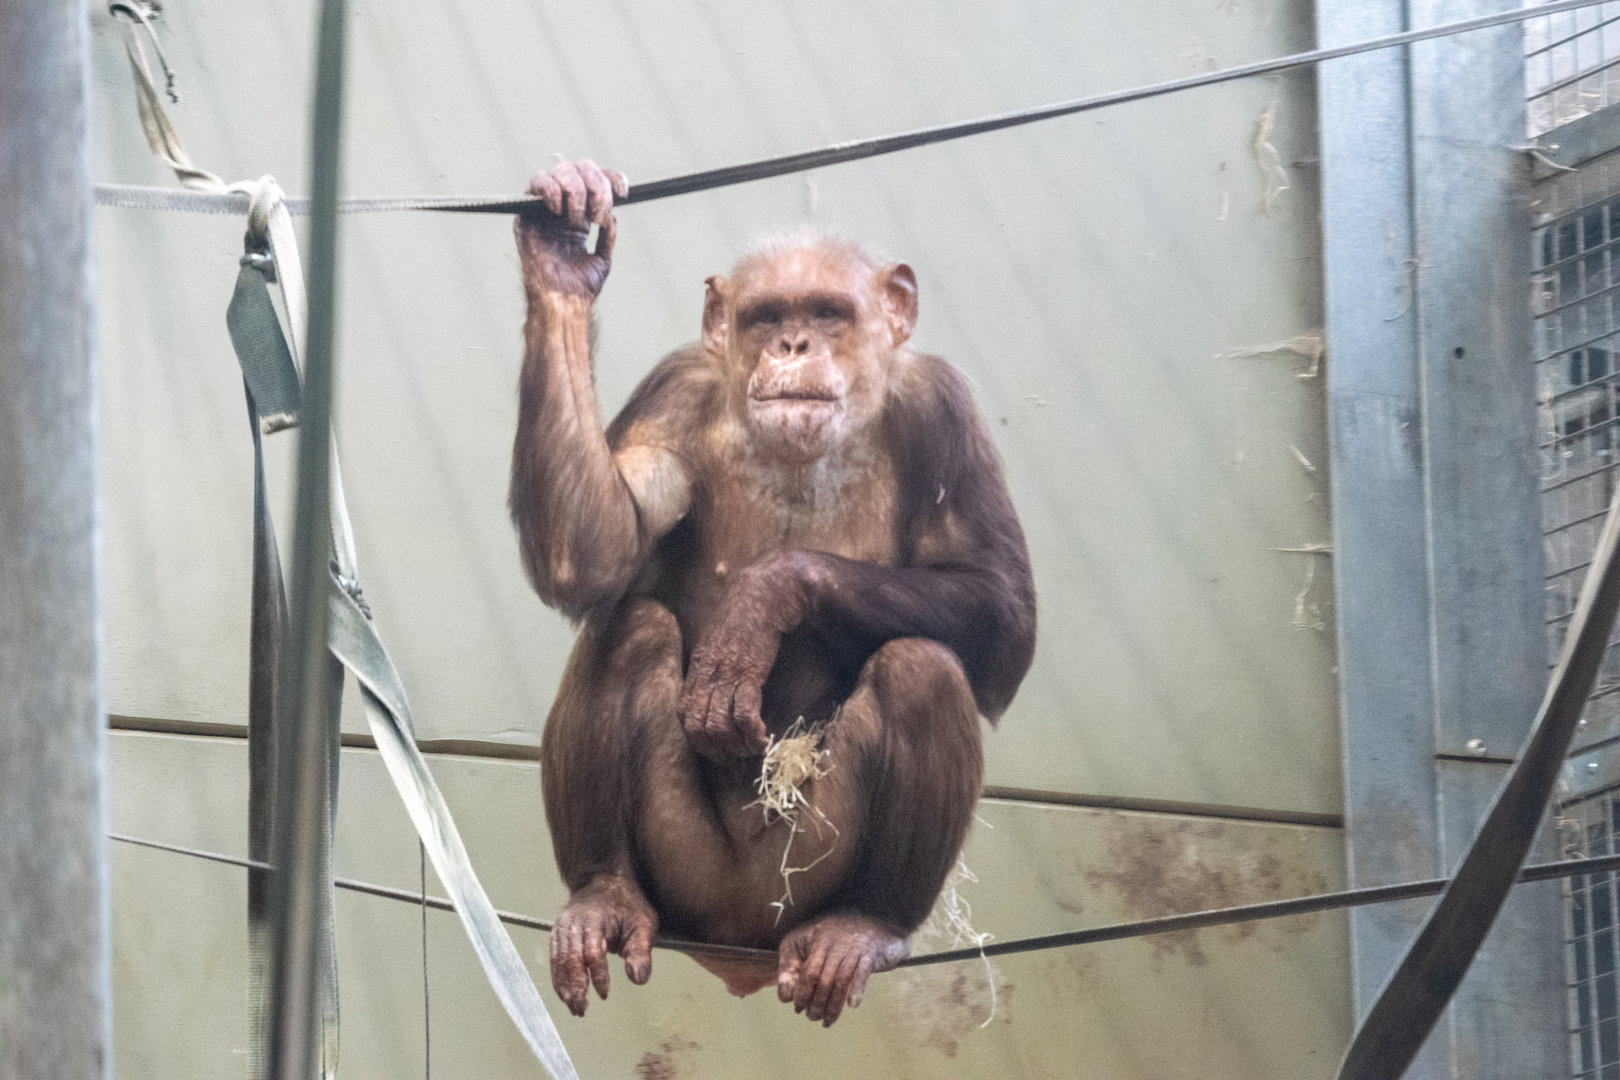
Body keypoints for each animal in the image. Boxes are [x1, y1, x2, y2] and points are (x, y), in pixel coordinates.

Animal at [510, 159, 1036, 1027]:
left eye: (826, 312)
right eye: (764, 318)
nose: (792, 345)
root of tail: (740, 957)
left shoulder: (944, 406)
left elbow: (1002, 615)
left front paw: (762, 605)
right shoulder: (674, 391)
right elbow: (595, 553)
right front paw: (561, 257)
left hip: (802, 882)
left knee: (922, 668)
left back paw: (866, 927)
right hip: (687, 879)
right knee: (630, 629)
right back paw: (602, 897)